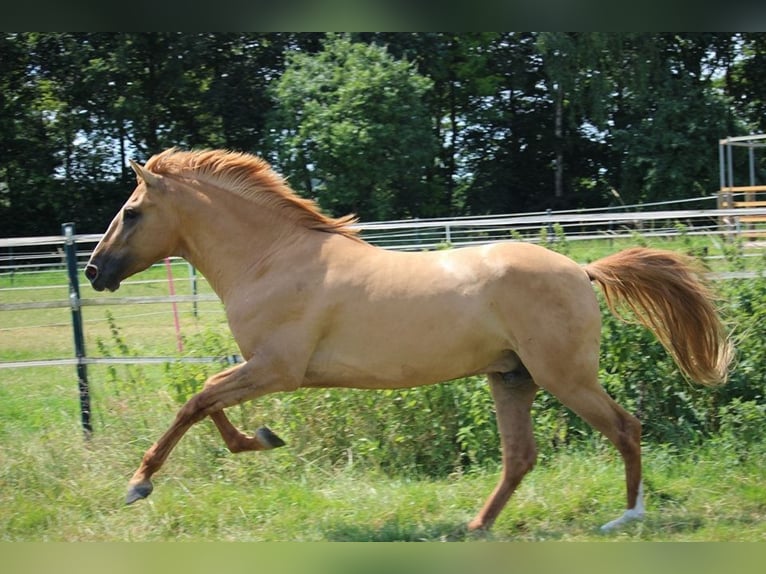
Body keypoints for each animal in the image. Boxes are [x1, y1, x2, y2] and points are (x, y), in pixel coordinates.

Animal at [82, 148, 732, 536]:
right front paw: (263, 438)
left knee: (625, 427)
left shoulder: (276, 368)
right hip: (511, 378)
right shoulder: (261, 368)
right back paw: (475, 527)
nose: (93, 270)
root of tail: (582, 270)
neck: (272, 259)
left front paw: (139, 483)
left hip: (563, 377)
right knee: (520, 456)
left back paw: (626, 517)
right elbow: (208, 403)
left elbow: (197, 400)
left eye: (132, 212)